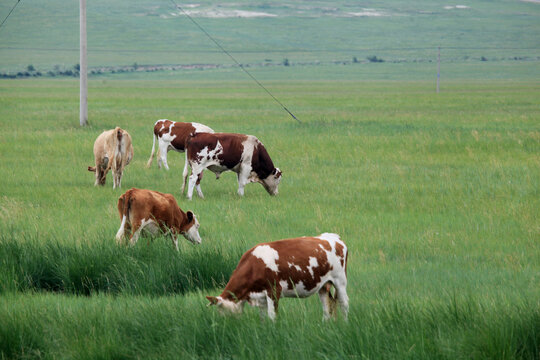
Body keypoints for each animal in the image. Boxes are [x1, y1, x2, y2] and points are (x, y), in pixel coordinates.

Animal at [205, 233, 348, 320]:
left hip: (340, 281)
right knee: (327, 306)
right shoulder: (261, 297)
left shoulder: (274, 291)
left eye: (224, 313)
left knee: (344, 303)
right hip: (323, 285)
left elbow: (272, 316)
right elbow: (263, 318)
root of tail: (334, 237)